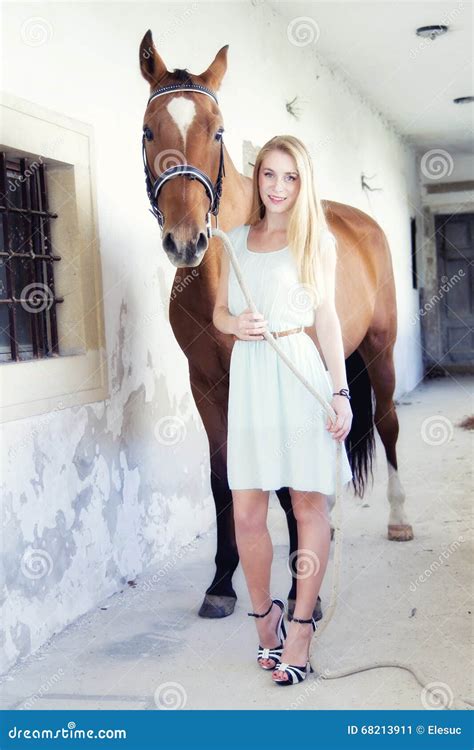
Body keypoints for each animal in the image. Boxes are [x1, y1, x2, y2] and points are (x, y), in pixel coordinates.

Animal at [138, 31, 414, 619]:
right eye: (149, 131)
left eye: (218, 131)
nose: (186, 241)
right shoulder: (206, 385)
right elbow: (222, 479)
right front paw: (222, 582)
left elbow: (287, 484)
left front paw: (300, 584)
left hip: (380, 350)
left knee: (388, 424)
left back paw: (399, 519)